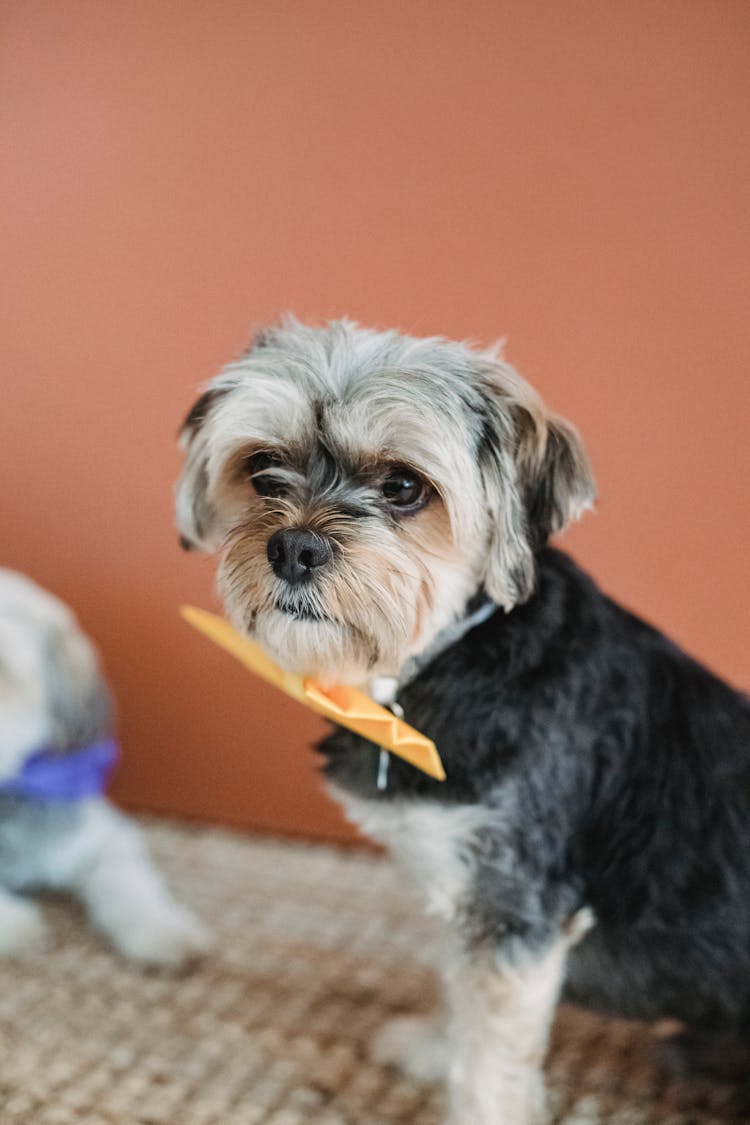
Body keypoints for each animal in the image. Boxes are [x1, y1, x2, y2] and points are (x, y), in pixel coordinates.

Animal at [177, 319, 750, 1125]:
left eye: (404, 486)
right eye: (261, 469)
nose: (291, 547)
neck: (424, 667)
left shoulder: (511, 908)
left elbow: (490, 1058)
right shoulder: (464, 893)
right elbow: (460, 996)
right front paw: (434, 1045)